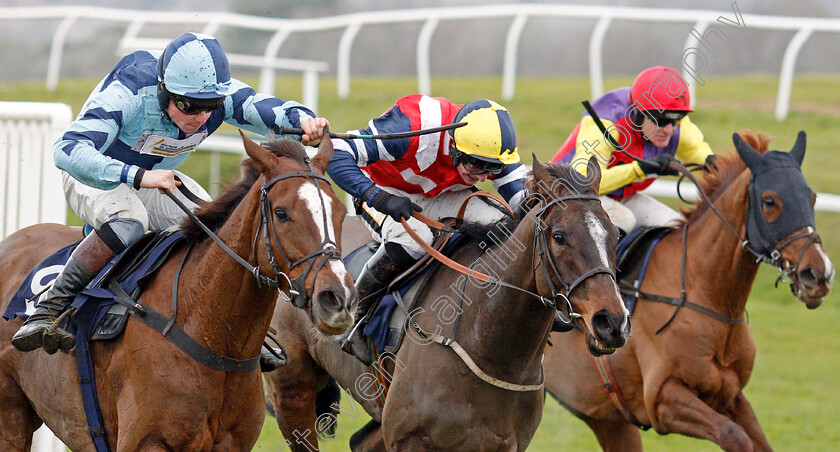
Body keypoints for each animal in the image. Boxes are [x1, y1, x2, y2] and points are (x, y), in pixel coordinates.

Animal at [0, 132, 358, 450]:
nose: (337, 298)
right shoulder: (146, 442)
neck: (206, 326)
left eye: (341, 213)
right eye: (282, 213)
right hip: (11, 416)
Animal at [264, 156, 632, 452]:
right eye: (559, 236)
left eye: (616, 234)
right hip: (292, 392)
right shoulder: (410, 440)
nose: (611, 322)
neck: (488, 343)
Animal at [544, 131, 832, 452]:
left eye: (812, 197)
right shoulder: (663, 400)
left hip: (608, 420)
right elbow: (734, 436)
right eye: (770, 201)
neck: (707, 295)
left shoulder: (731, 395)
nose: (818, 273)